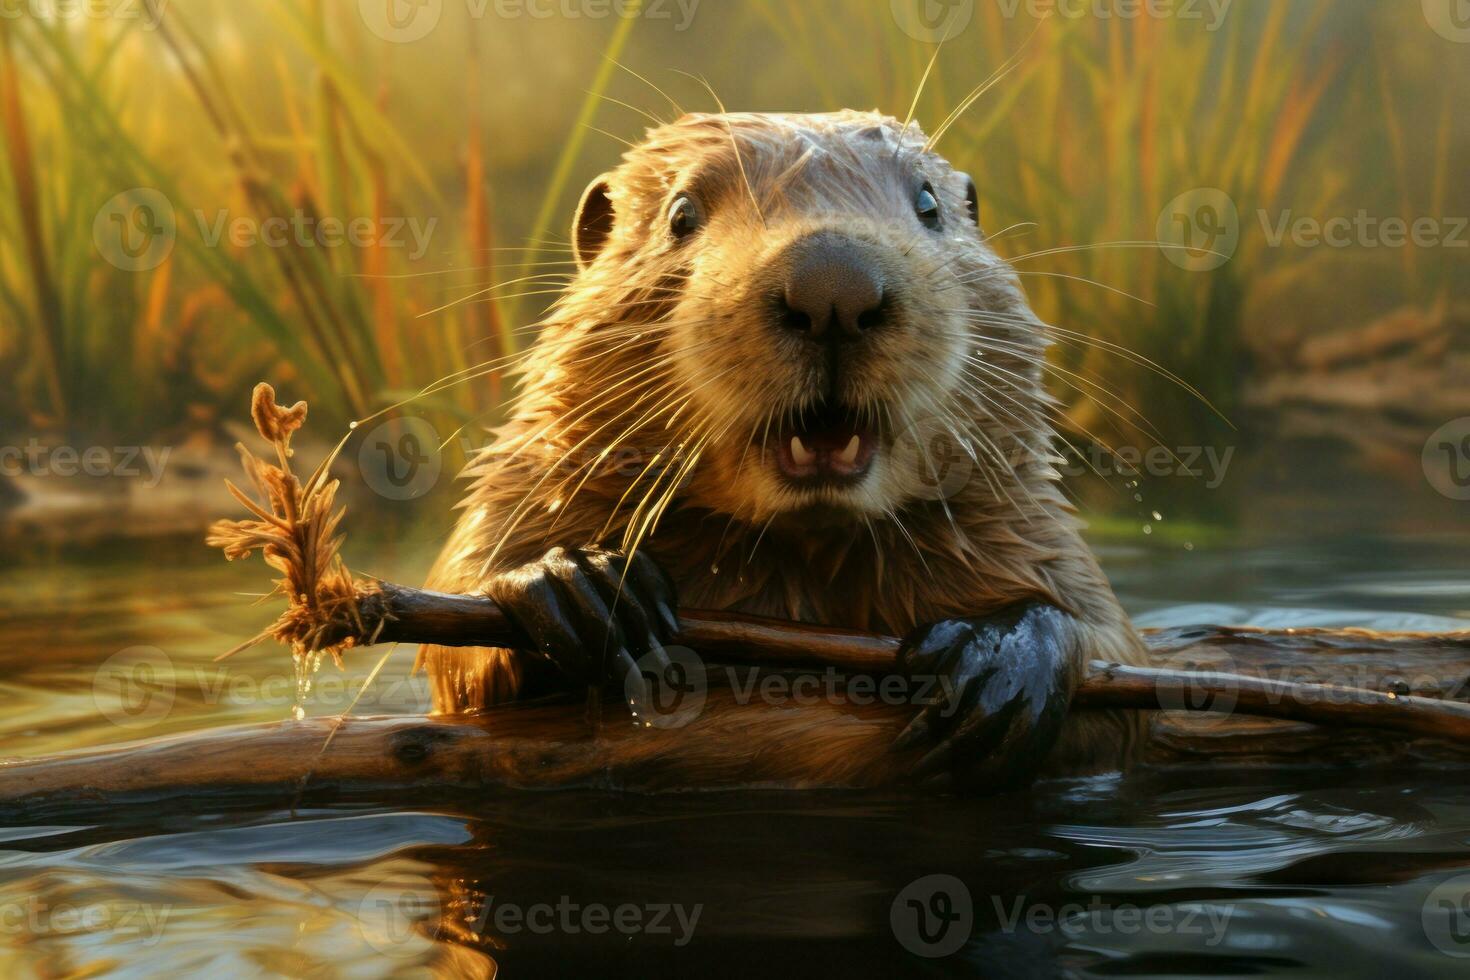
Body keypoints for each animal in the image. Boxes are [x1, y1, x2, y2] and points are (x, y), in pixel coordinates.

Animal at [414, 110, 1146, 793]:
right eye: (681, 213)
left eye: (929, 203)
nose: (834, 287)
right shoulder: (530, 484)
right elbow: (457, 647)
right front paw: (572, 583)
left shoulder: (1023, 522)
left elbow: (1119, 655)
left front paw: (1001, 661)